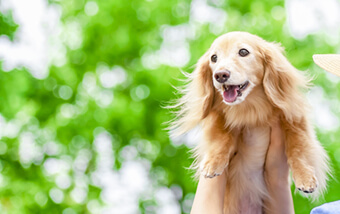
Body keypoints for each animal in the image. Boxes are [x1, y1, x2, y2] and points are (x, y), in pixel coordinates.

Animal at [170, 31, 330, 212]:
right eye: (214, 58)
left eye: (243, 52)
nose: (220, 75)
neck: (250, 110)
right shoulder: (217, 116)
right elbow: (221, 136)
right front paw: (213, 163)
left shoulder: (295, 119)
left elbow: (297, 147)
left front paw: (305, 177)